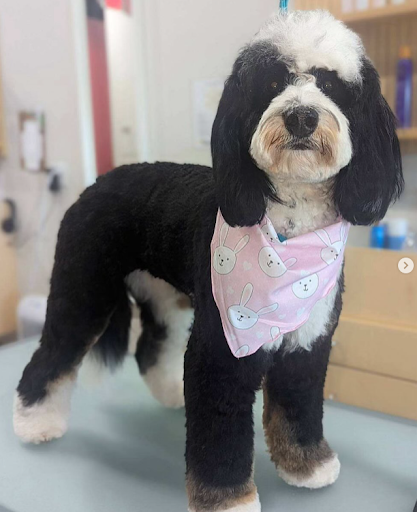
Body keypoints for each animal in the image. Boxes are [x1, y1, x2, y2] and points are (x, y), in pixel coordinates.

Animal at [14, 9, 402, 512]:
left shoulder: (307, 341)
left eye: (333, 86)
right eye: (272, 83)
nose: (301, 116)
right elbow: (220, 429)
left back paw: (168, 392)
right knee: (55, 352)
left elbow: (297, 406)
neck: (289, 232)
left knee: (151, 347)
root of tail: (99, 182)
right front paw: (228, 498)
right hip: (84, 289)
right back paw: (35, 422)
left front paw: (308, 465)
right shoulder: (221, 348)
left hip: (167, 298)